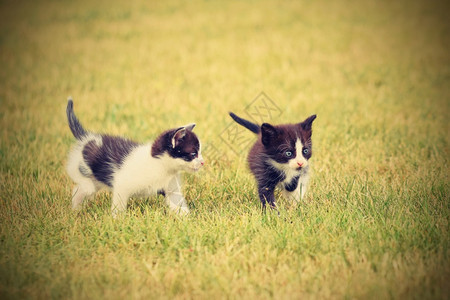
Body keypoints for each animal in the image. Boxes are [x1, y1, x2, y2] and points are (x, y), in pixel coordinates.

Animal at [66, 98, 204, 216]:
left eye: (200, 152)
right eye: (193, 154)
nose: (203, 162)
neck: (161, 166)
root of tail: (86, 138)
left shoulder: (172, 189)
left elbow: (179, 204)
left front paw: (187, 220)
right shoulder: (122, 184)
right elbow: (119, 204)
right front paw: (117, 220)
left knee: (78, 191)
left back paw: (76, 210)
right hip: (80, 168)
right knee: (83, 185)